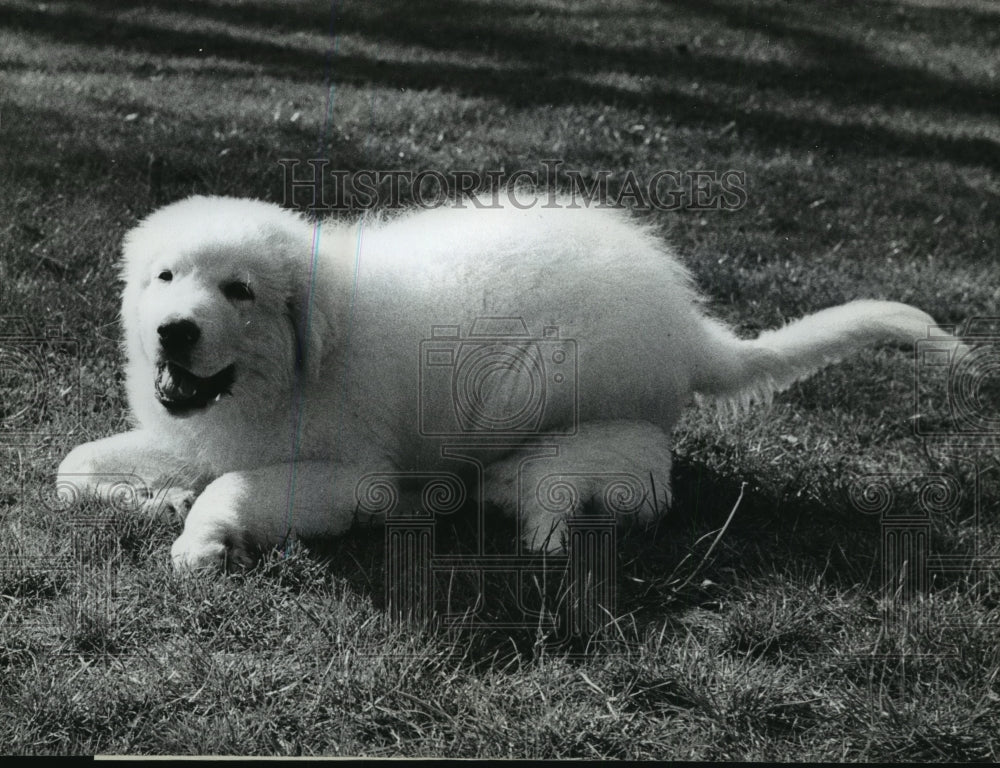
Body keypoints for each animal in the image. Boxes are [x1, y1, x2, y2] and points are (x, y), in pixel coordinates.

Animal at [58, 195, 940, 572]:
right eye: (165, 277)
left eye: (239, 290)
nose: (175, 330)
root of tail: (690, 323)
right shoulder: (195, 434)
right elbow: (69, 468)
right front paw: (157, 501)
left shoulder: (354, 472)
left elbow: (234, 485)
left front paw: (200, 538)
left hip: (536, 384)